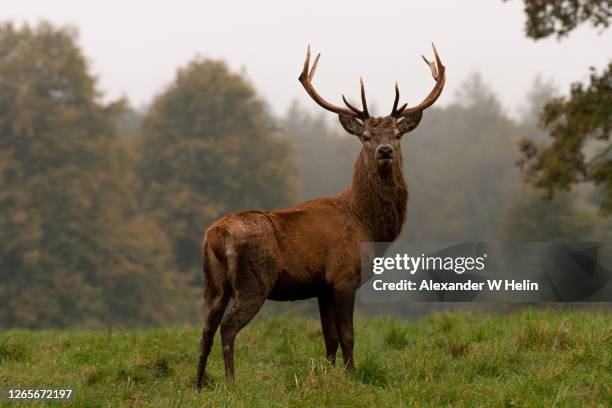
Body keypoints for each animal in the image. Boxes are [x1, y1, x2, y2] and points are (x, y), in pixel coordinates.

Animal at [196, 43, 444, 386]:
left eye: (397, 134)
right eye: (365, 137)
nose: (384, 151)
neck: (367, 226)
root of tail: (215, 236)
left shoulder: (321, 287)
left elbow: (329, 338)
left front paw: (328, 376)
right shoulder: (343, 276)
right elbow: (347, 335)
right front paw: (352, 377)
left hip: (213, 284)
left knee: (205, 330)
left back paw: (198, 385)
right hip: (253, 280)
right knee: (228, 327)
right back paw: (232, 383)